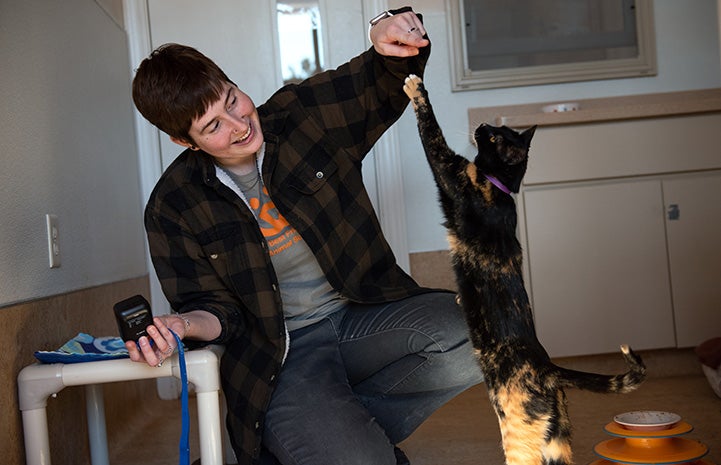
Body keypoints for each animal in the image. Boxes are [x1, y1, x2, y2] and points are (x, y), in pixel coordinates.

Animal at [402, 73, 644, 464]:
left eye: (496, 137)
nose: (483, 124)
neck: (500, 189)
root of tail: (549, 370)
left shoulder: (449, 171)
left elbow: (431, 132)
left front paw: (416, 88)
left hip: (519, 436)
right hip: (557, 443)